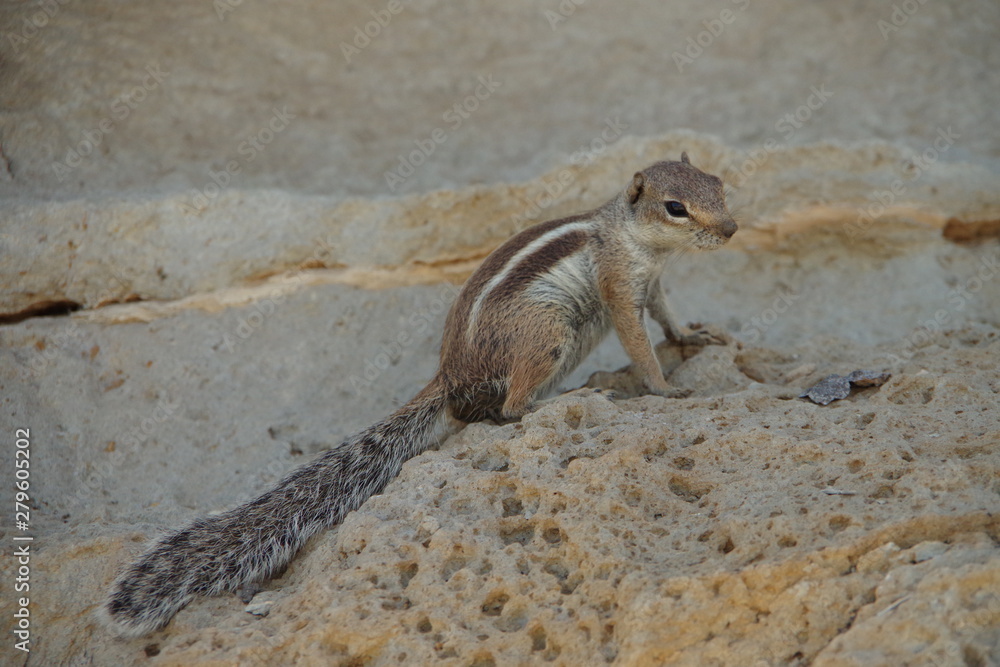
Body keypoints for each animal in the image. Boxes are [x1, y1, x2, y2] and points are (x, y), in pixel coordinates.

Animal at [105, 154, 740, 640]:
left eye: (718, 184)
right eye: (675, 207)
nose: (732, 230)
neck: (636, 241)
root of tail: (448, 374)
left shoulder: (652, 284)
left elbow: (666, 317)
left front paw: (694, 338)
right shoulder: (619, 285)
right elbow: (638, 341)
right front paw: (665, 387)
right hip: (546, 334)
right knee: (504, 410)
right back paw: (552, 404)